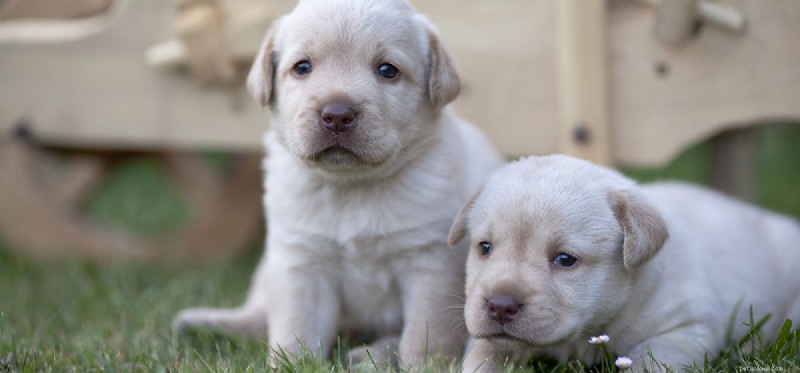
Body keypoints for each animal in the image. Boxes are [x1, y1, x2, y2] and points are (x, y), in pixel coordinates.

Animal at [174, 0, 504, 366]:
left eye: (387, 70)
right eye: (302, 67)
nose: (336, 115)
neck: (352, 187)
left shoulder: (430, 266)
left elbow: (423, 336)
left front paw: (421, 366)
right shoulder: (299, 264)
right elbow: (294, 328)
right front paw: (292, 364)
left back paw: (370, 355)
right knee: (259, 315)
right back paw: (207, 325)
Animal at [450, 153, 800, 370]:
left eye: (565, 259)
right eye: (484, 247)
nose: (499, 306)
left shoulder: (684, 329)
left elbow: (649, 360)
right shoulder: (491, 342)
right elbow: (483, 356)